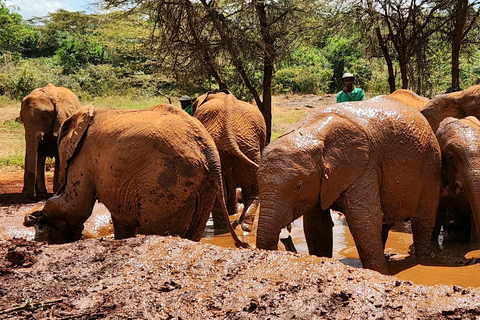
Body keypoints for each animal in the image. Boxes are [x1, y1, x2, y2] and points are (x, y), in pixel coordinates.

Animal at [21, 103, 248, 248]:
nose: (29, 218)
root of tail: (209, 153)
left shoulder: (84, 155)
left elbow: (76, 206)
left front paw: (35, 216)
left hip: (167, 183)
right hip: (202, 187)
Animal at [191, 90, 266, 232]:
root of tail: (229, 136)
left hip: (244, 149)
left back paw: (228, 229)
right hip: (248, 149)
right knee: (249, 191)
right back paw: (243, 228)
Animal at [256, 96, 440, 274]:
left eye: (299, 186)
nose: (285, 239)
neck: (312, 130)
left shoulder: (364, 165)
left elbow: (364, 218)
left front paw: (379, 273)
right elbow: (317, 225)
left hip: (431, 164)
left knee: (423, 220)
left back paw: (422, 260)